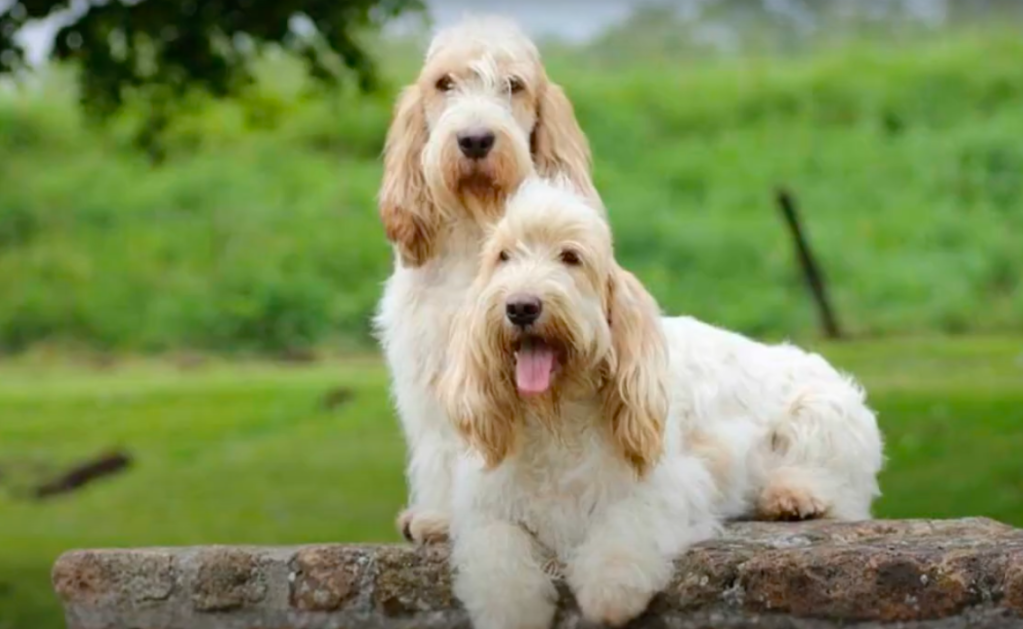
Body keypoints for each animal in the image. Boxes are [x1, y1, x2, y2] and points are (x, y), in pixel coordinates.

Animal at [376, 15, 597, 548]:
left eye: (513, 85)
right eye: (444, 84)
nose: (475, 139)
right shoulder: (432, 360)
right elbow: (442, 442)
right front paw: (437, 516)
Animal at [443, 175, 883, 629]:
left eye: (570, 257)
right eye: (503, 256)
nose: (520, 307)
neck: (557, 415)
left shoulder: (665, 485)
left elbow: (625, 525)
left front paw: (610, 589)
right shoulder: (484, 505)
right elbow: (497, 553)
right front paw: (513, 606)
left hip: (821, 413)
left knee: (840, 490)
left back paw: (792, 497)